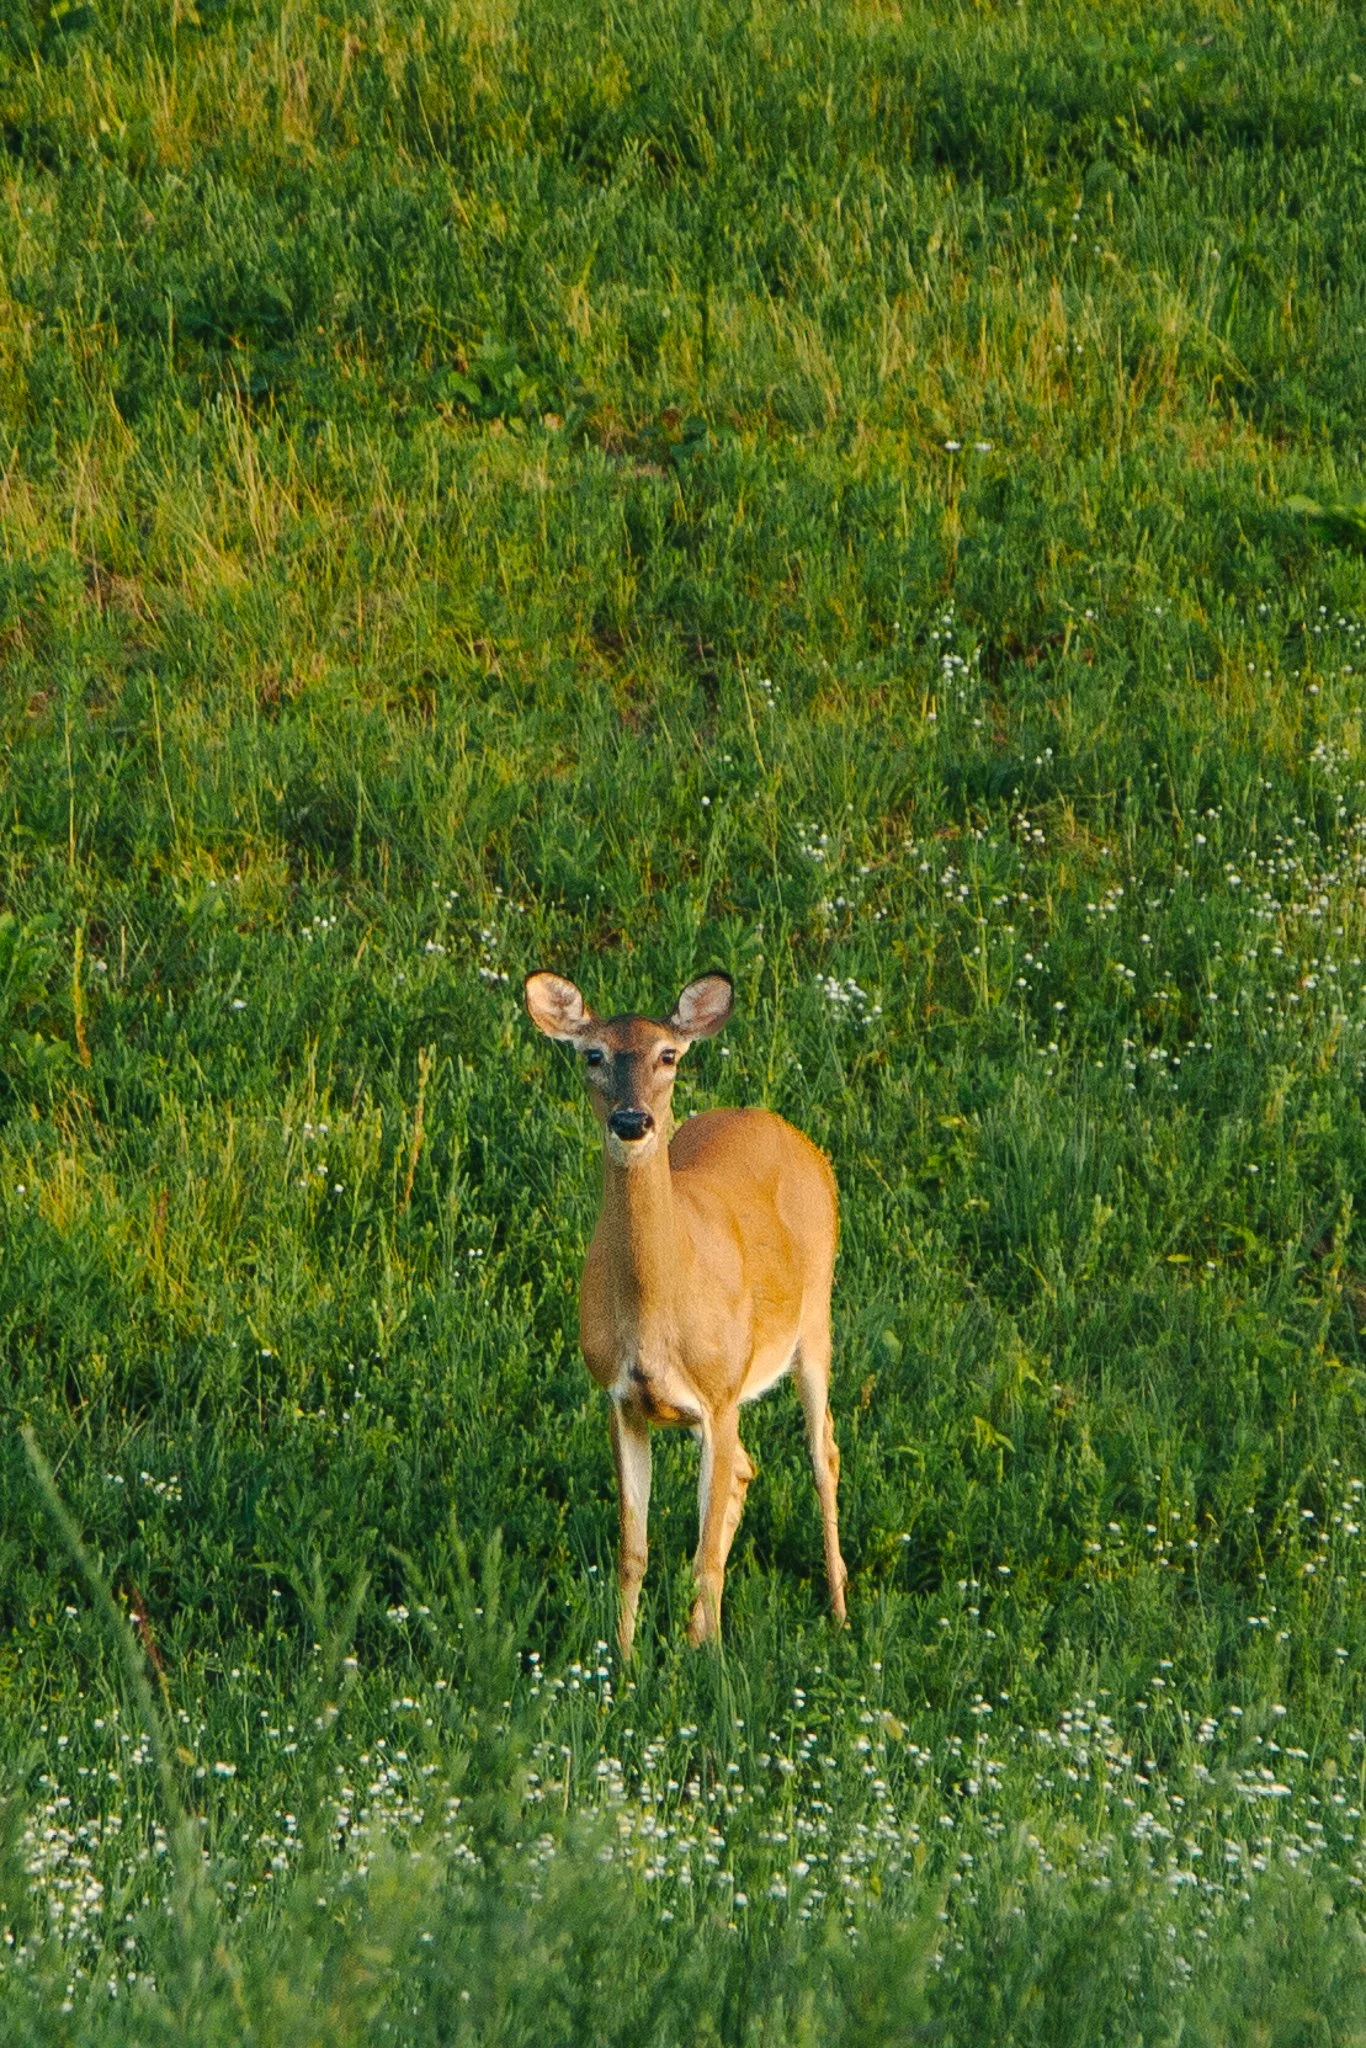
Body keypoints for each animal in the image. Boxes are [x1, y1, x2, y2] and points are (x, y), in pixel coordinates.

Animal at [524, 968, 846, 1653]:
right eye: (593, 1055)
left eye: (667, 1056)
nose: (632, 1120)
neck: (655, 1317)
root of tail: (782, 1128)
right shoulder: (621, 1399)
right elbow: (633, 1550)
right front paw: (623, 1659)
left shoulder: (721, 1394)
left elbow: (702, 1559)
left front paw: (712, 1662)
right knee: (748, 1468)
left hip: (815, 1319)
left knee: (822, 1453)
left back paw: (837, 1609)